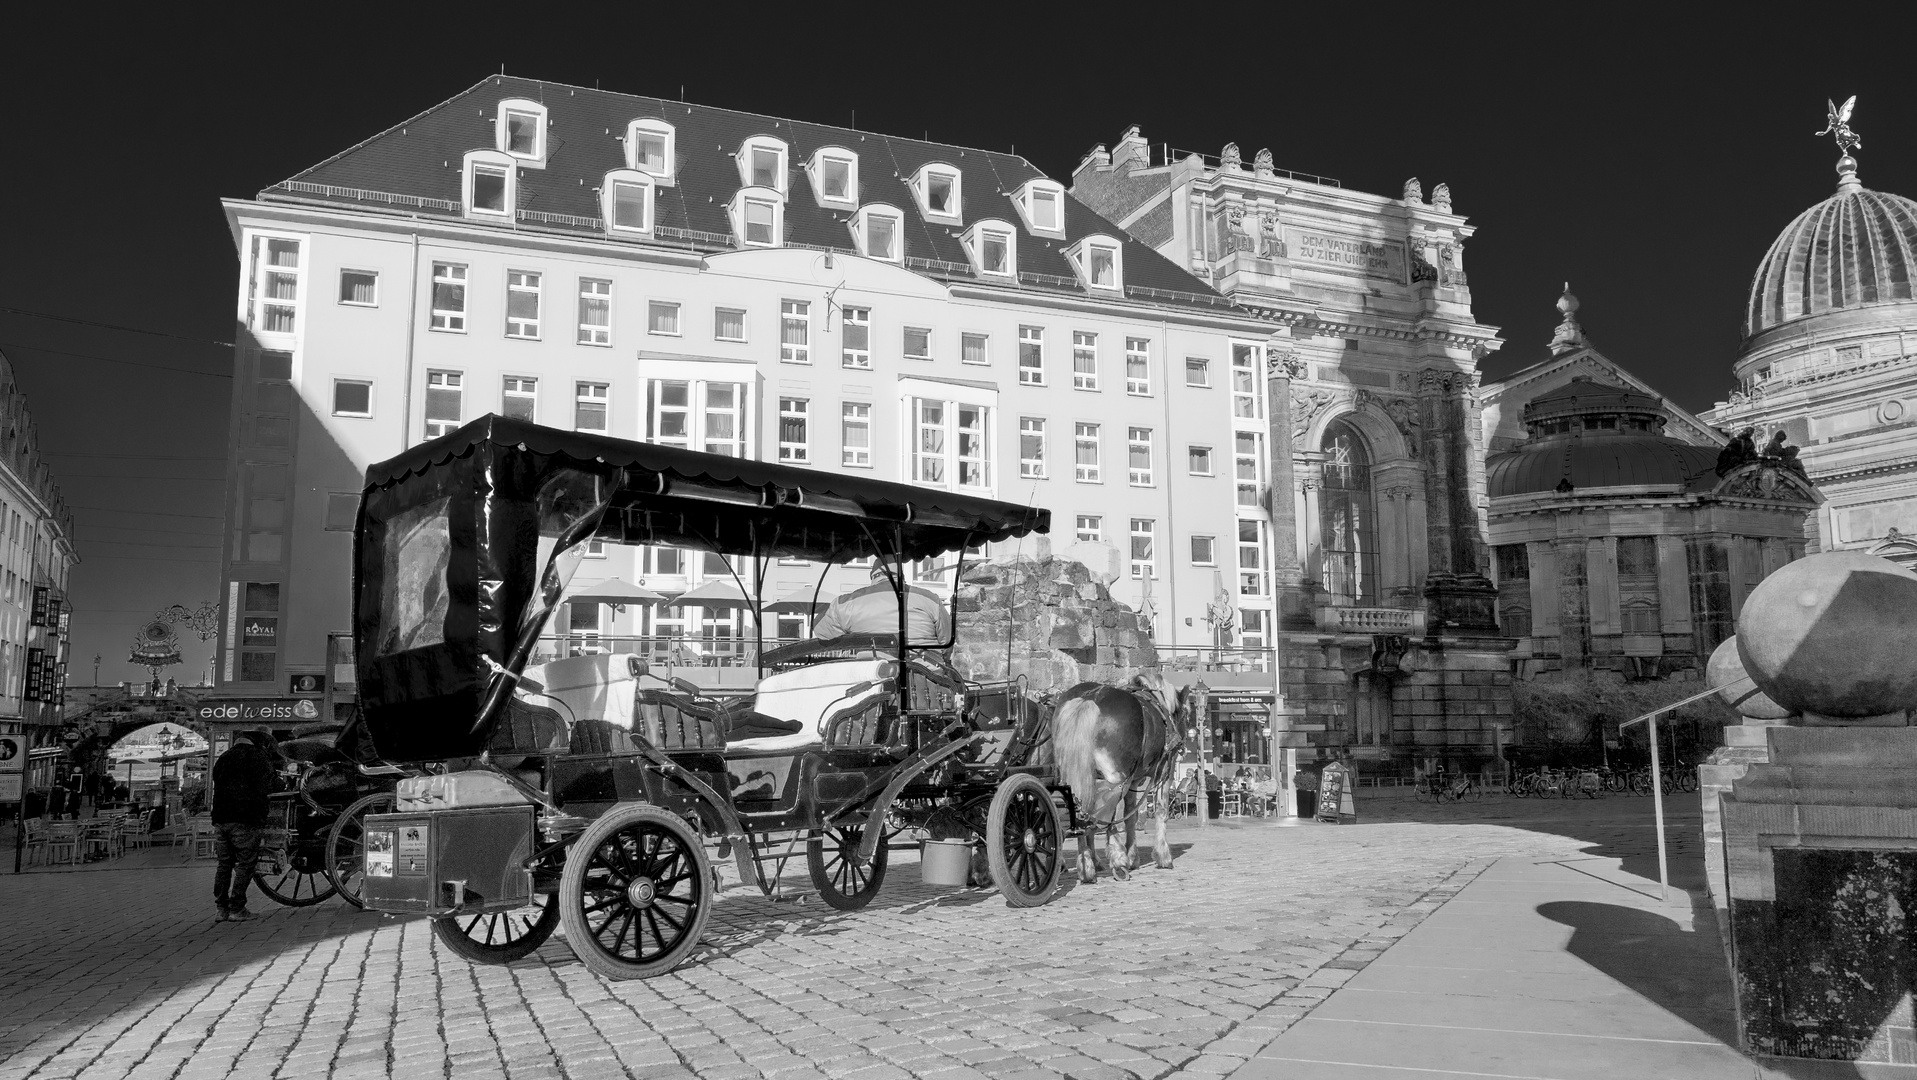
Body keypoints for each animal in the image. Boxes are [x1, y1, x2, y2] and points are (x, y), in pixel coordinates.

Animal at [1027, 675, 1188, 886]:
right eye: (1186, 714)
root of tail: (1090, 698)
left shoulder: (1133, 780)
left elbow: (1129, 816)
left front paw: (1132, 856)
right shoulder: (1163, 772)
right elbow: (1160, 811)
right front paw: (1162, 856)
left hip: (1081, 775)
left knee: (1081, 813)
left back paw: (1087, 866)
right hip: (1114, 777)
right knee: (1105, 814)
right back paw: (1117, 860)